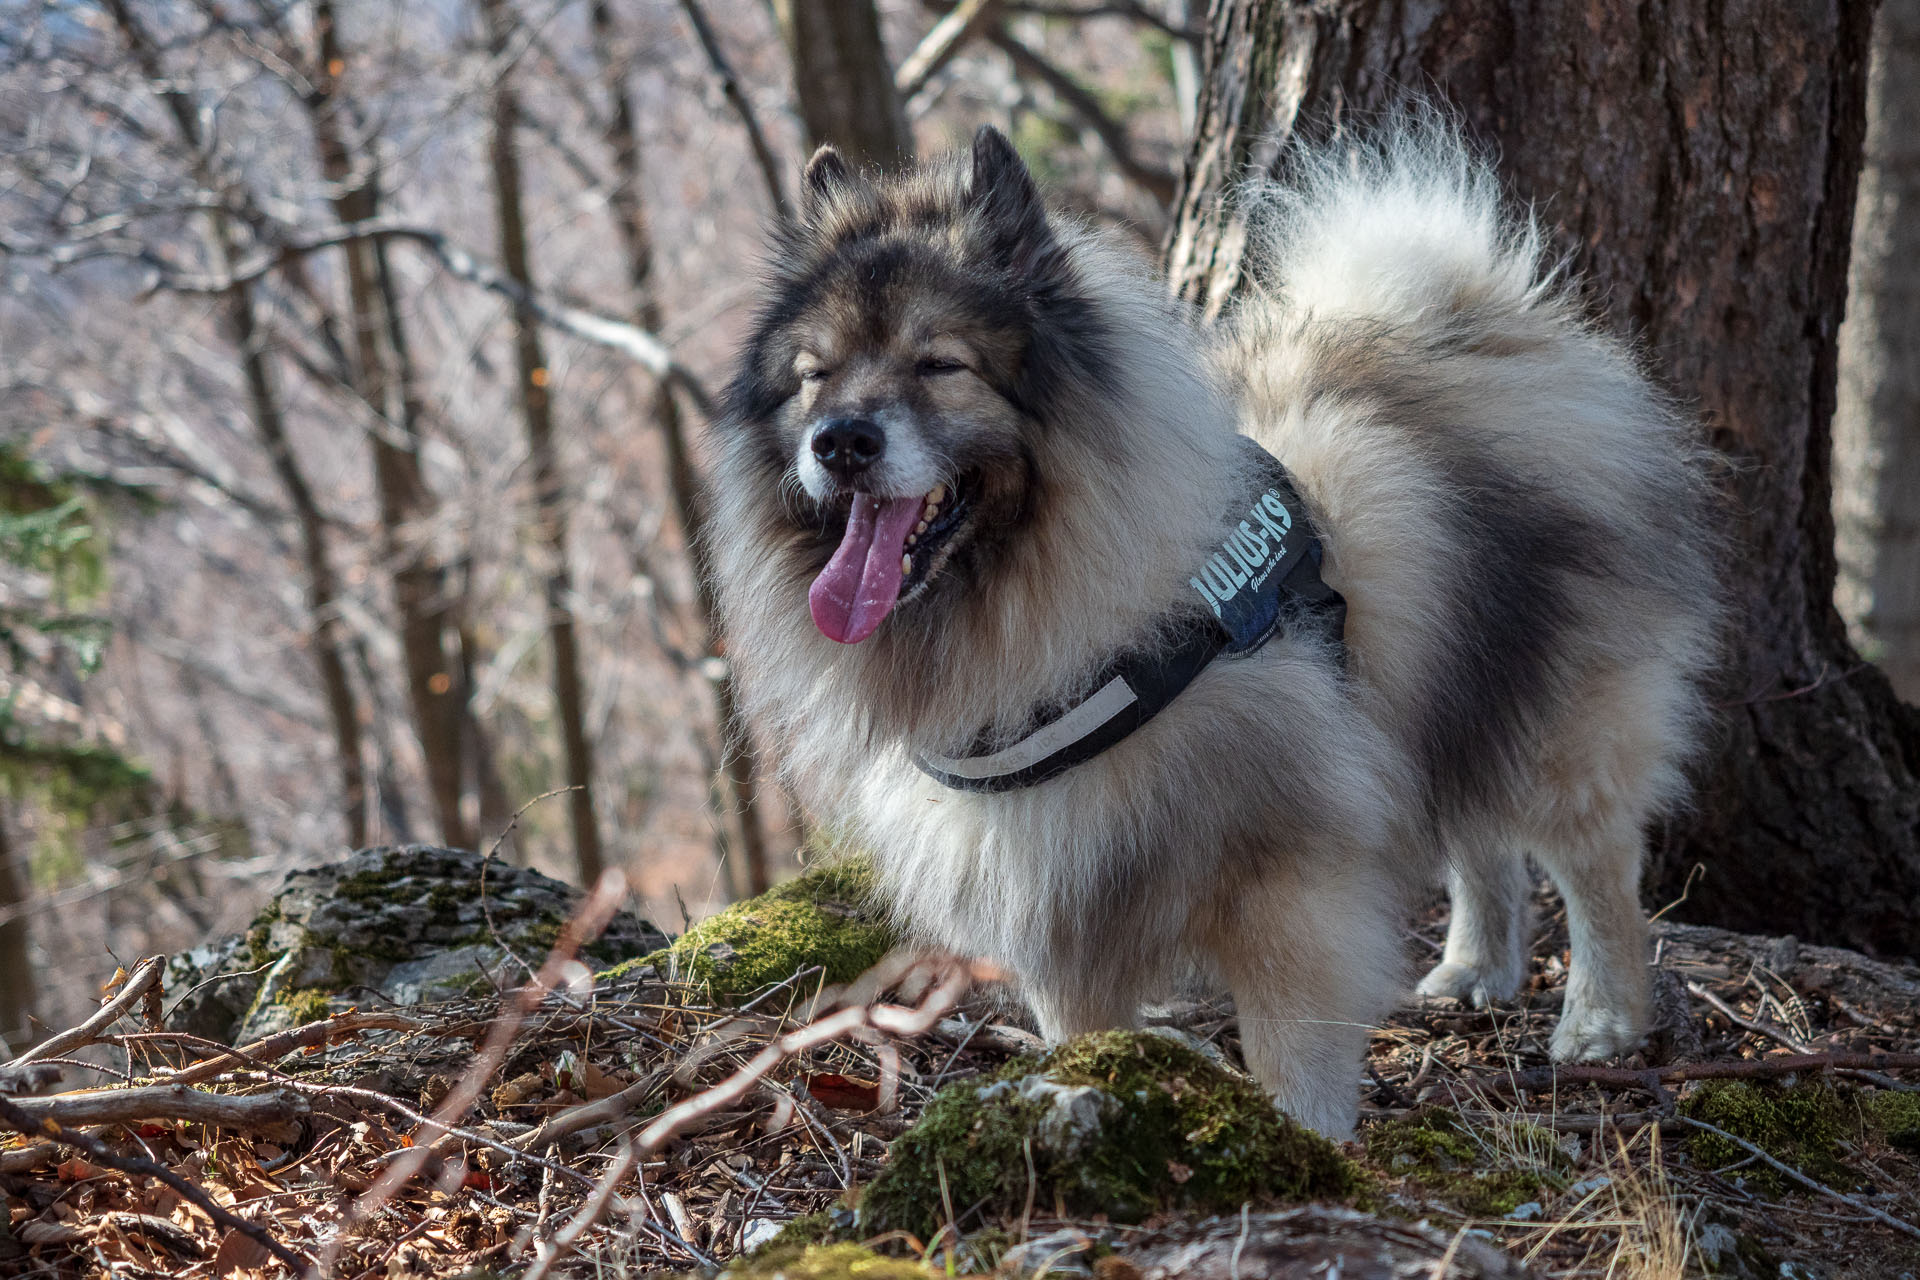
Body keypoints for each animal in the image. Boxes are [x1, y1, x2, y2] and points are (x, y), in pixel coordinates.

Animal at [710, 122, 1728, 1143]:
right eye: (814, 376)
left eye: (939, 365)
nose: (840, 440)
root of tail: (1474, 325)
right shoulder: (1056, 892)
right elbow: (1081, 1024)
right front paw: (1089, 1092)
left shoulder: (1285, 878)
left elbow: (1292, 1040)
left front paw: (1307, 1145)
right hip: (1451, 687)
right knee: (1476, 829)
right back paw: (1476, 968)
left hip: (1560, 715)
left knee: (1596, 866)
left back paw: (1602, 1019)